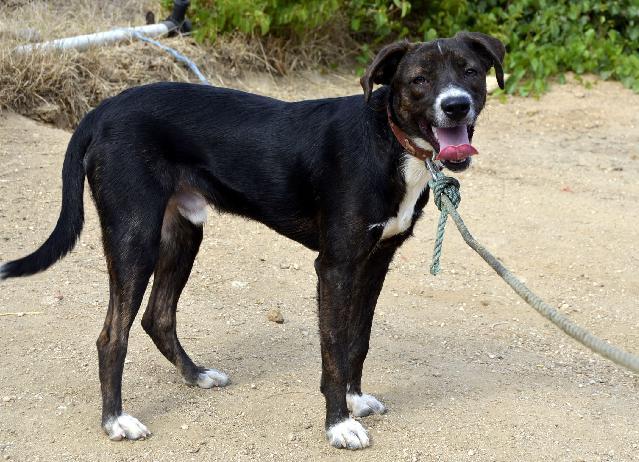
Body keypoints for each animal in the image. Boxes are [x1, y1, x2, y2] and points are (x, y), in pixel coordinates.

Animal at [0, 32, 504, 452]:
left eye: (470, 72)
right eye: (419, 80)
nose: (456, 106)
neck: (388, 140)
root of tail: (102, 109)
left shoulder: (376, 261)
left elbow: (357, 341)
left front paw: (355, 400)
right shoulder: (336, 266)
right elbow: (334, 350)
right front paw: (338, 424)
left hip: (183, 231)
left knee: (157, 317)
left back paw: (196, 375)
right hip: (134, 235)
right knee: (112, 336)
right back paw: (116, 421)